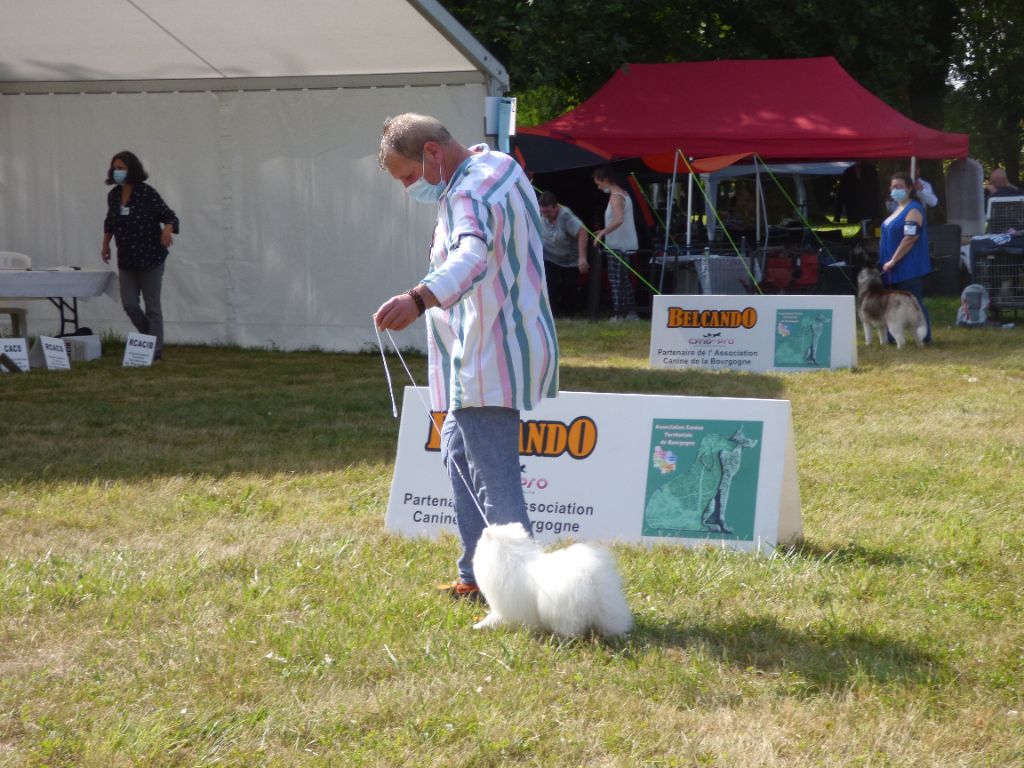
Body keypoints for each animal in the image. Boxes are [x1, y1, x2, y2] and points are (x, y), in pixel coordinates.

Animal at [471, 523, 633, 638]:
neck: (513, 557)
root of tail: (590, 578)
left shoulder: (506, 607)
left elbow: (495, 617)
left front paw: (479, 626)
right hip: (608, 605)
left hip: (566, 611)